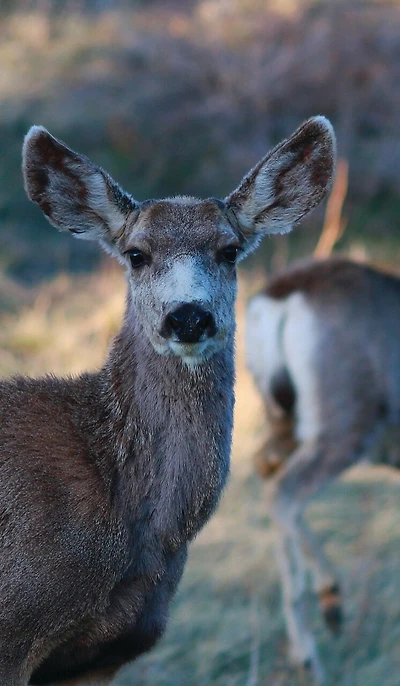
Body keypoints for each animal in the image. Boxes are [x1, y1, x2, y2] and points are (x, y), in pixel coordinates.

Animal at [246, 255, 400, 682]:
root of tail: (282, 297)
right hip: (345, 422)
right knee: (284, 493)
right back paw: (324, 612)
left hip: (284, 422)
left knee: (266, 472)